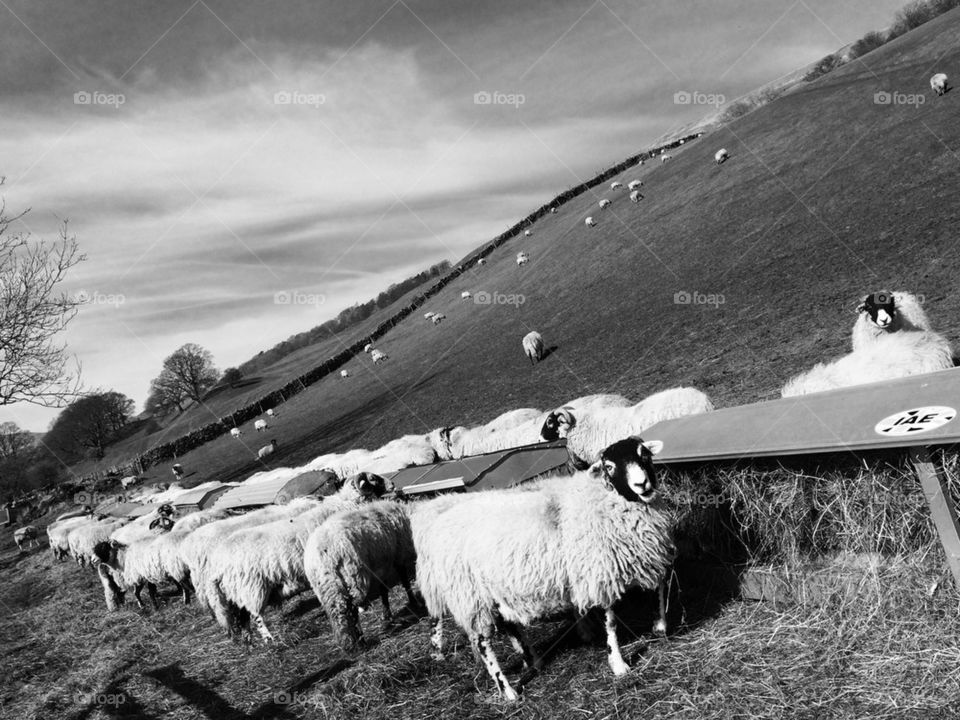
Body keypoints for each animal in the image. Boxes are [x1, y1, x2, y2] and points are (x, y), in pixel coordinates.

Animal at [208, 472, 392, 640]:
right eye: (373, 479)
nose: (392, 485)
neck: (344, 504)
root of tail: (218, 565)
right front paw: (361, 607)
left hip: (238, 593)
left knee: (244, 617)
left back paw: (250, 640)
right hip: (251, 588)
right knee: (255, 616)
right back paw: (269, 639)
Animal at [304, 498, 416, 648]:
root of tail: (323, 553)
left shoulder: (381, 566)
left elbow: (383, 590)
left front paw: (386, 615)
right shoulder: (398, 555)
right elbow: (404, 581)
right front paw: (413, 601)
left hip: (326, 585)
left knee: (336, 611)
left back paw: (347, 643)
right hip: (353, 577)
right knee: (350, 609)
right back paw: (359, 642)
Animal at [414, 436, 676, 700]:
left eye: (645, 455)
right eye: (609, 466)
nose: (642, 484)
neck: (601, 497)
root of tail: (436, 524)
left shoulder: (649, 552)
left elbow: (661, 585)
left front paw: (660, 627)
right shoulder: (598, 571)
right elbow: (610, 622)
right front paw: (619, 665)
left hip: (495, 590)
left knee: (510, 625)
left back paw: (533, 662)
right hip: (471, 597)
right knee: (483, 644)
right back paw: (508, 691)